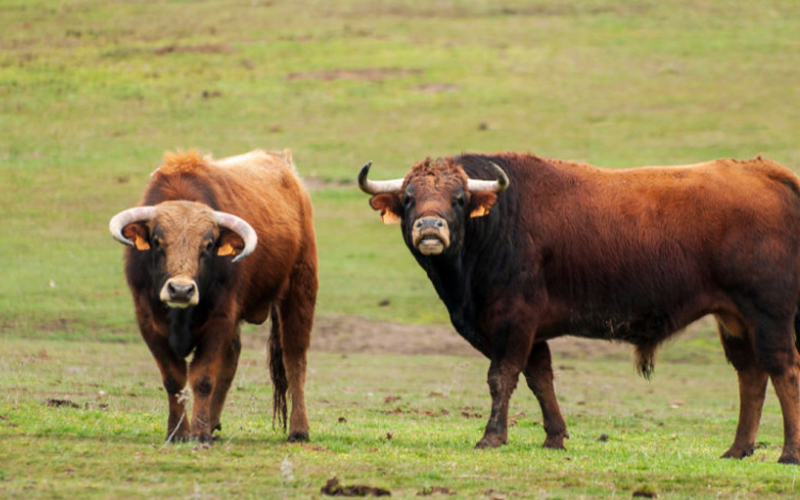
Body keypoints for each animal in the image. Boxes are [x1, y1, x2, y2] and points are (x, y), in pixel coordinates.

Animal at [111, 148, 318, 442]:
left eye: (207, 245)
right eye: (158, 242)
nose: (181, 289)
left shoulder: (220, 318)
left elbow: (203, 378)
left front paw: (199, 433)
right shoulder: (148, 321)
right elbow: (174, 380)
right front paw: (178, 432)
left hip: (301, 289)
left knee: (294, 358)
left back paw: (298, 429)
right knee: (232, 358)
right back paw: (213, 422)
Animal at [360, 153, 800, 464]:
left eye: (458, 198)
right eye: (409, 198)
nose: (430, 227)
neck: (500, 222)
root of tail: (766, 172)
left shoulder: (512, 321)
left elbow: (502, 377)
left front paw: (492, 437)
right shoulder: (529, 331)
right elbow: (540, 378)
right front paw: (554, 437)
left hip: (769, 313)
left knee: (783, 369)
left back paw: (788, 453)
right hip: (735, 319)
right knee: (750, 373)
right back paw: (738, 449)